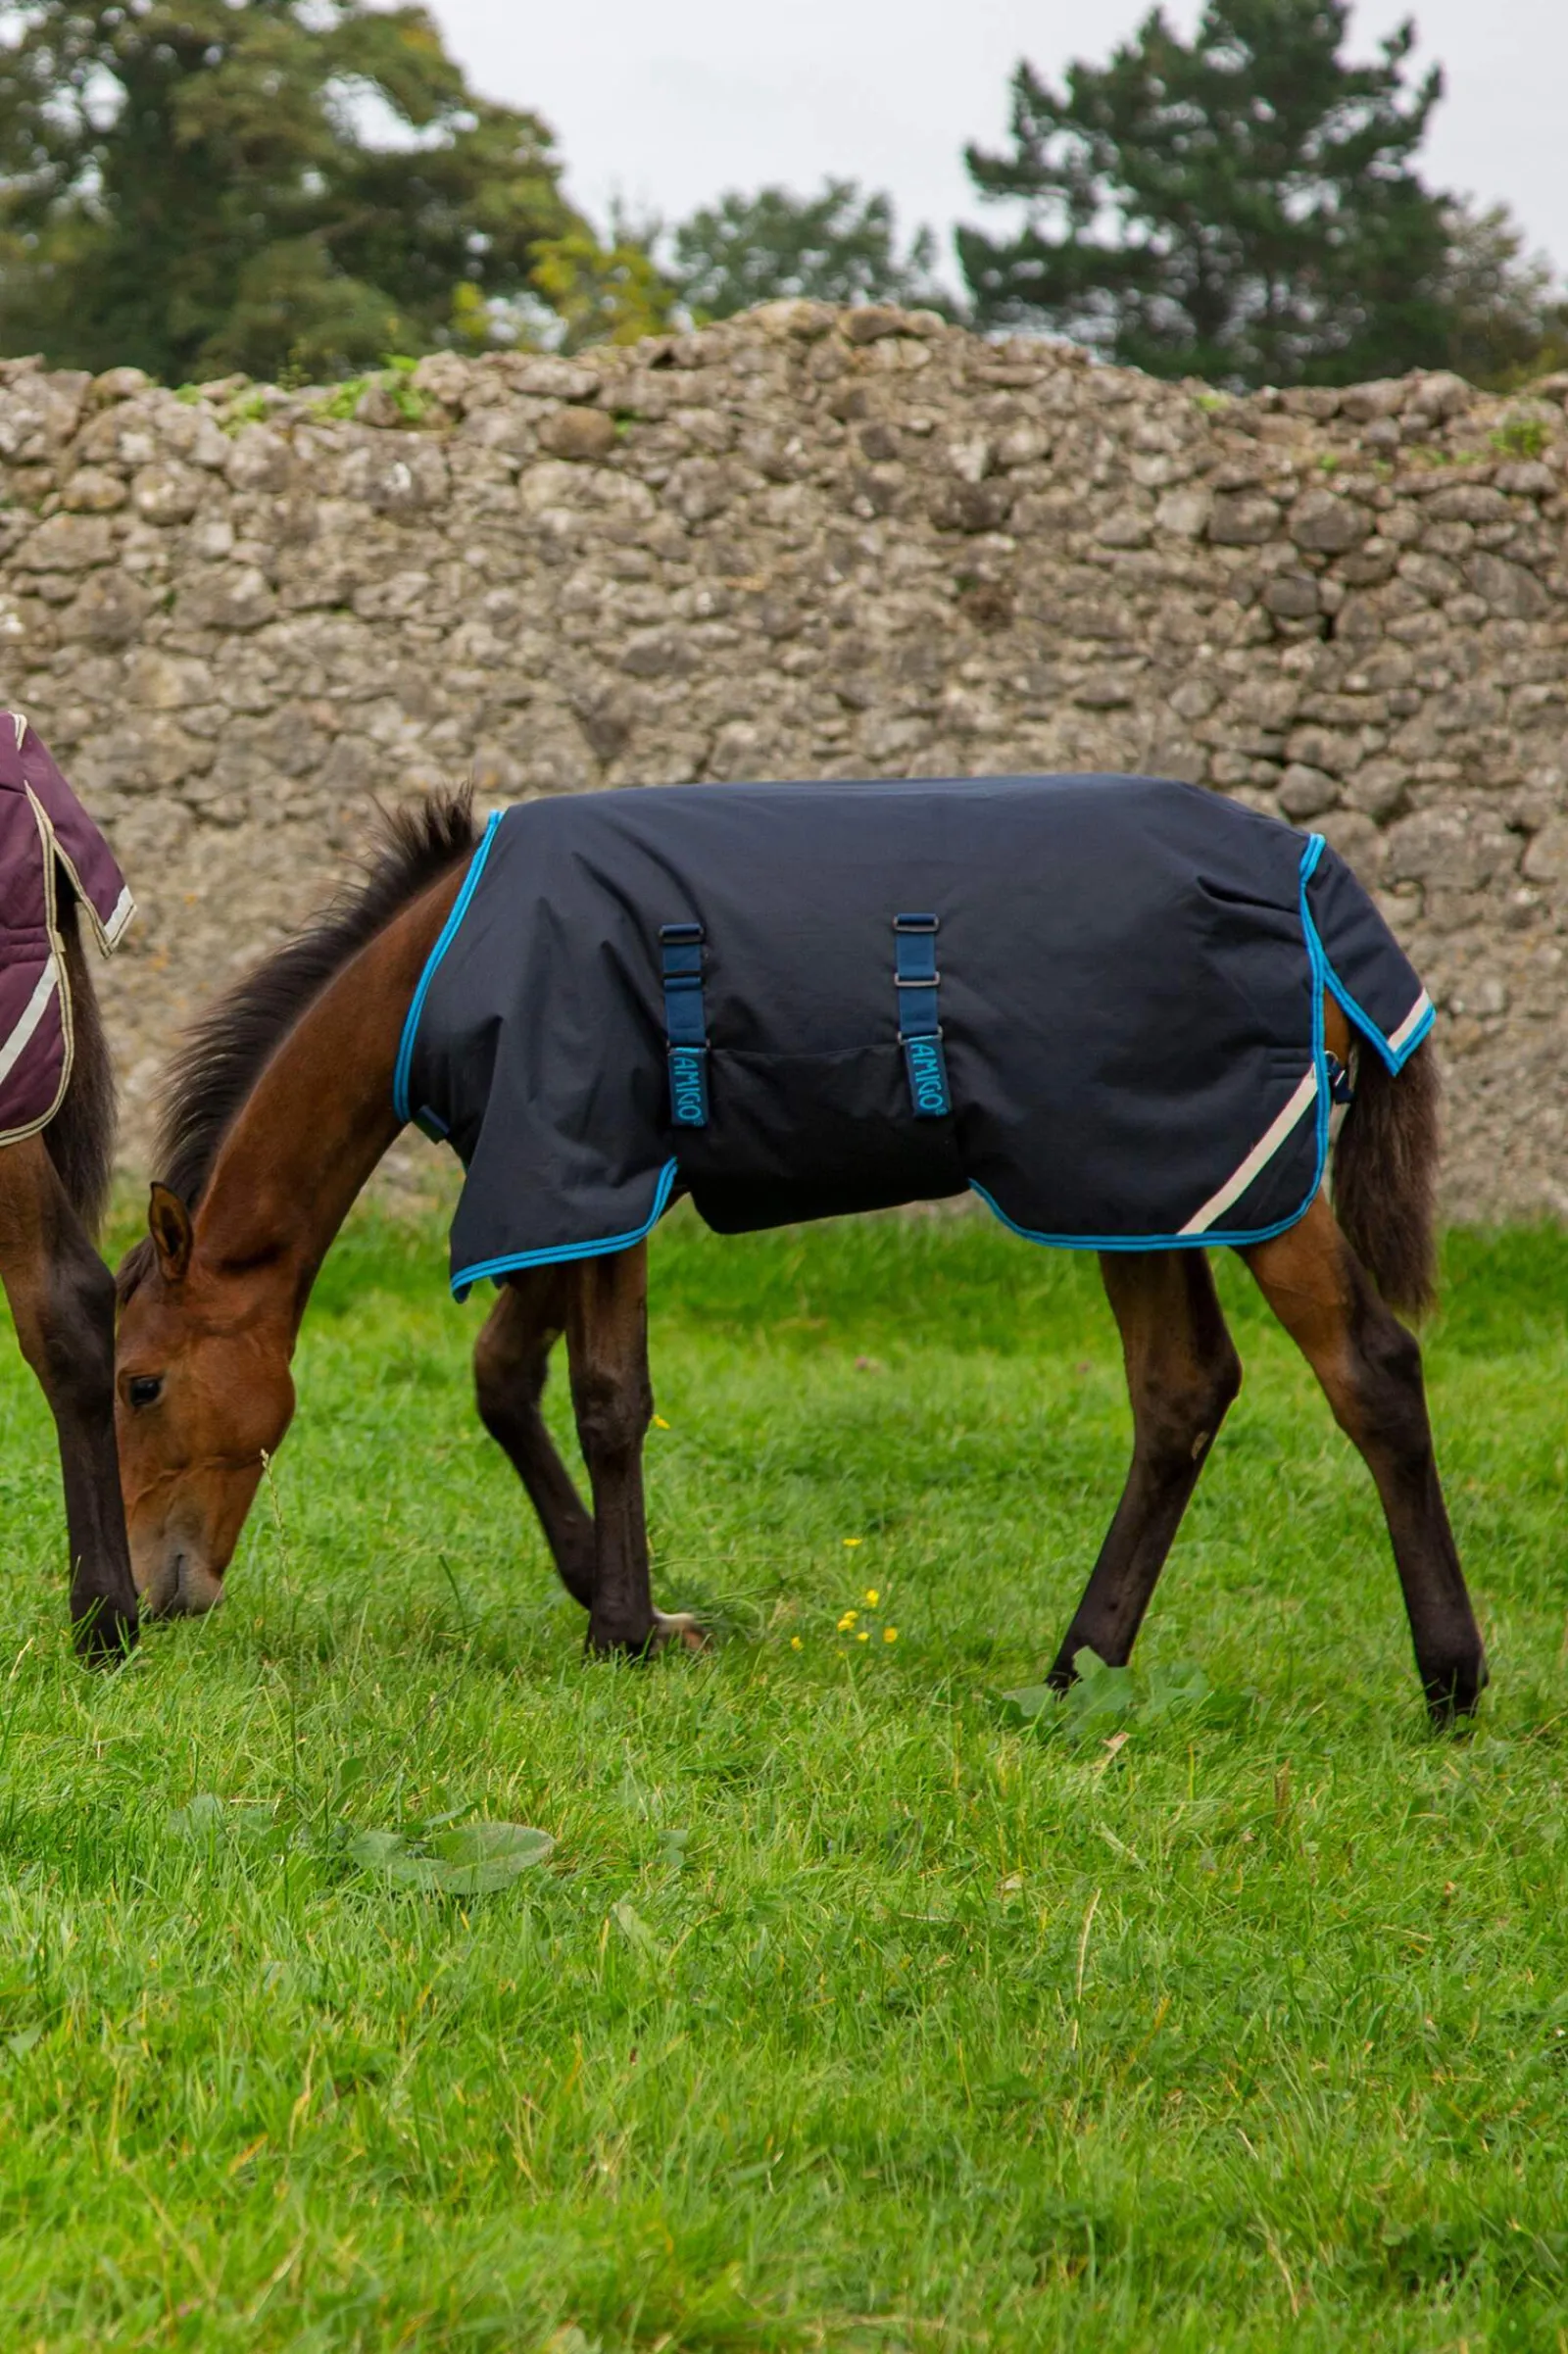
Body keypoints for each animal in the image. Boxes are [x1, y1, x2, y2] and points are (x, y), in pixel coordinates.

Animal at [112, 779, 1487, 1721]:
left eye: (139, 1382)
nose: (148, 1600)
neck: (447, 958)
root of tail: (1314, 885)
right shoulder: (566, 1187)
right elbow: (509, 1380)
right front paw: (623, 1600)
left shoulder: (595, 1159)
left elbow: (606, 1398)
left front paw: (624, 1627)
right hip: (1146, 1187)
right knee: (1183, 1389)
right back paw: (1077, 1667)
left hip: (1222, 1181)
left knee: (1364, 1369)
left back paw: (1449, 1680)